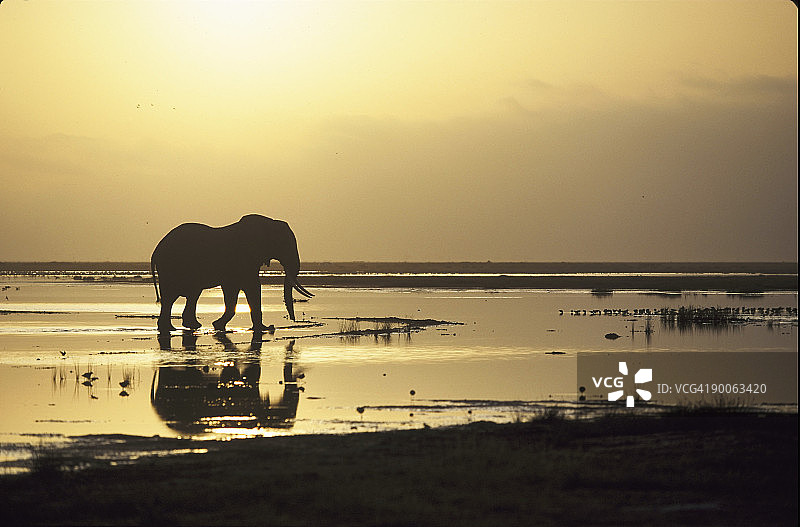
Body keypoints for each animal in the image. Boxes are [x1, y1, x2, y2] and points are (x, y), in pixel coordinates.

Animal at [150, 214, 313, 332]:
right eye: (285, 244)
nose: (293, 320)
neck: (269, 223)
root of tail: (156, 249)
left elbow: (236, 290)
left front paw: (218, 325)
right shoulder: (243, 258)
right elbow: (251, 286)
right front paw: (265, 329)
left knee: (189, 294)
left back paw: (188, 326)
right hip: (171, 267)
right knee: (171, 296)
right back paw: (172, 328)